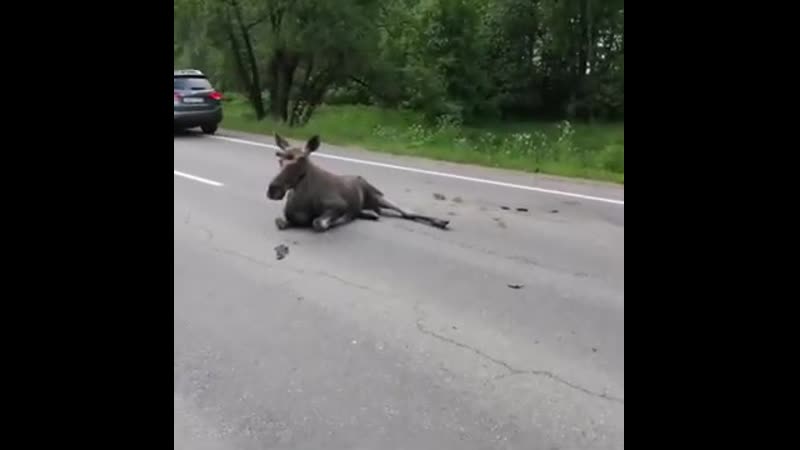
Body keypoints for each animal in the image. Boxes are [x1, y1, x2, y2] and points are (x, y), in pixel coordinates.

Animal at [264, 133, 446, 232]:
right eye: (279, 157)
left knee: (406, 212)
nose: (273, 189)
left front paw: (339, 220)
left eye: (302, 159)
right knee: (377, 212)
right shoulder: (287, 217)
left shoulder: (338, 205)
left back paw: (441, 221)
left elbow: (318, 223)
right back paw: (370, 214)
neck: (303, 199)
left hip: (376, 194)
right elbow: (281, 222)